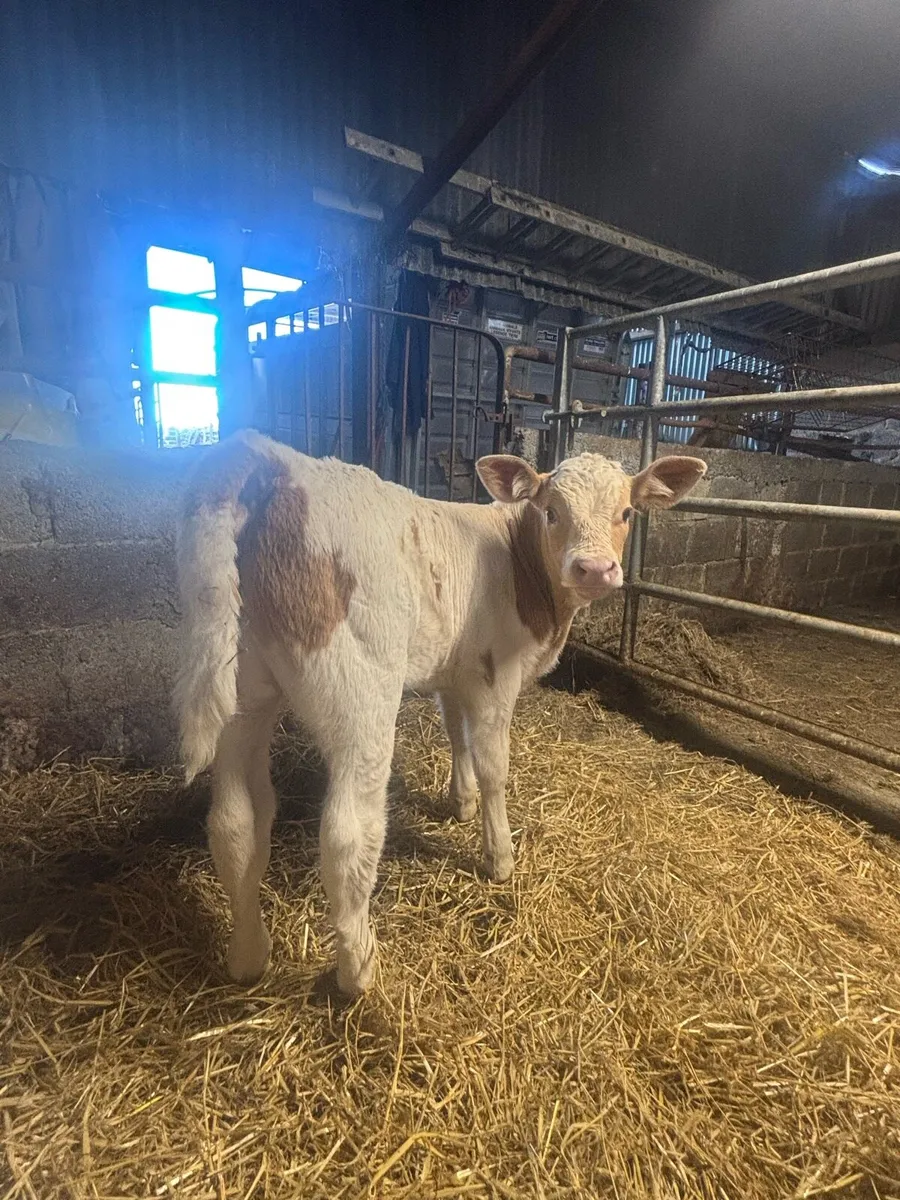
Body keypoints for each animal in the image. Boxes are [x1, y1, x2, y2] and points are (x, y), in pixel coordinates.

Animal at [174, 431, 706, 995]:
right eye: (551, 512)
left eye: (626, 512)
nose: (594, 569)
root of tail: (266, 459)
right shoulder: (496, 675)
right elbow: (494, 766)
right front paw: (499, 856)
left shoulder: (457, 670)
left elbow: (456, 733)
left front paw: (461, 801)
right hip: (359, 698)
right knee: (346, 835)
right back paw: (358, 970)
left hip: (241, 693)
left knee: (234, 824)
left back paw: (247, 956)